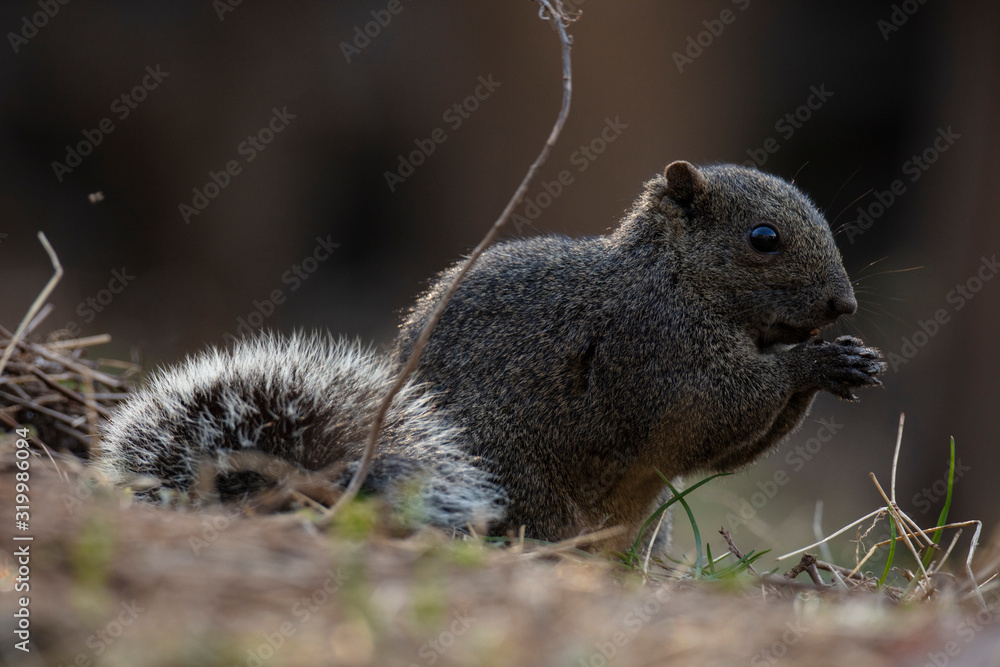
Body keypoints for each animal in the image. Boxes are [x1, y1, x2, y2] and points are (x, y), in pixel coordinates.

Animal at [97, 161, 885, 551]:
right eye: (763, 238)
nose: (843, 306)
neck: (674, 278)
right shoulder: (653, 348)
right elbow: (710, 413)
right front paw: (815, 364)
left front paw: (849, 360)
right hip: (515, 488)